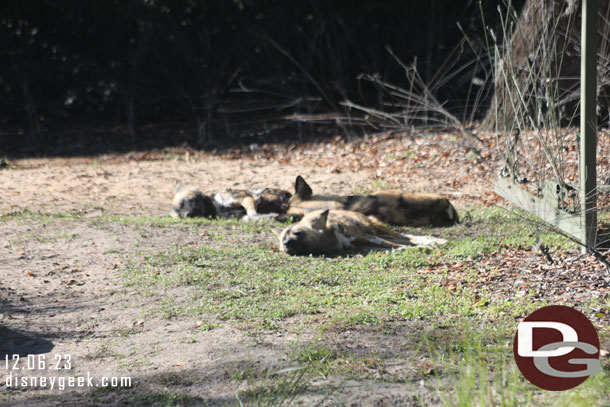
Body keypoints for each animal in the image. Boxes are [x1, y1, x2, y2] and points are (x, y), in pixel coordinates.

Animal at [278, 210, 444, 255]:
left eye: (297, 233)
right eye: (282, 241)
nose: (286, 244)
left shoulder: (364, 236)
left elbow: (401, 243)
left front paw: (427, 245)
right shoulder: (361, 245)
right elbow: (399, 247)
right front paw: (421, 248)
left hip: (374, 227)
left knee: (405, 236)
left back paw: (435, 240)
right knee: (404, 239)